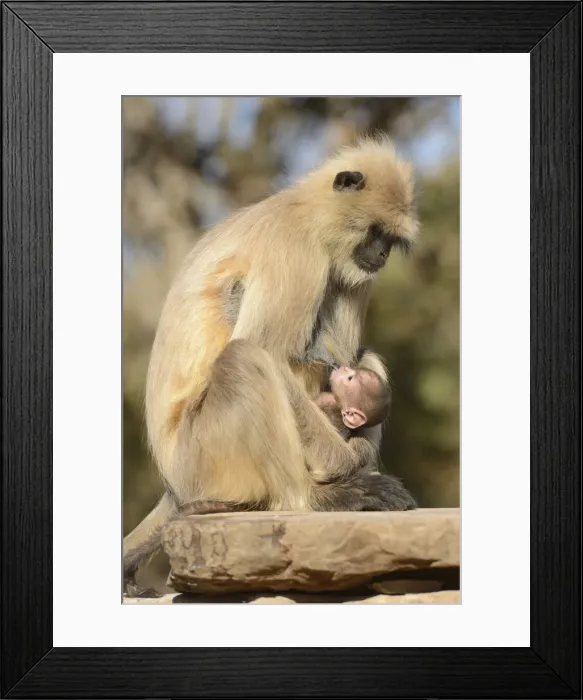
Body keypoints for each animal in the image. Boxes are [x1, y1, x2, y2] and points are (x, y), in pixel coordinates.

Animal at [123, 136, 418, 586]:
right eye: (376, 232)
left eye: (389, 239)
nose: (382, 252)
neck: (305, 212)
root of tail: (174, 486)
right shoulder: (296, 249)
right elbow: (271, 350)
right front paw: (349, 462)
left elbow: (346, 358)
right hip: (203, 460)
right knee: (245, 358)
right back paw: (314, 498)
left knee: (363, 357)